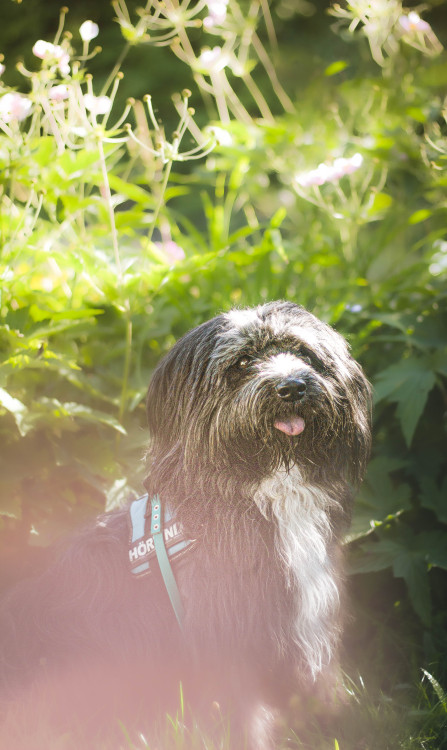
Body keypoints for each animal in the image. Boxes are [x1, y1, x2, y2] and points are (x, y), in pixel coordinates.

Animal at [0, 302, 372, 750]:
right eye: (243, 362)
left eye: (303, 352)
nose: (293, 386)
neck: (268, 485)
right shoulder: (228, 633)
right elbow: (241, 711)